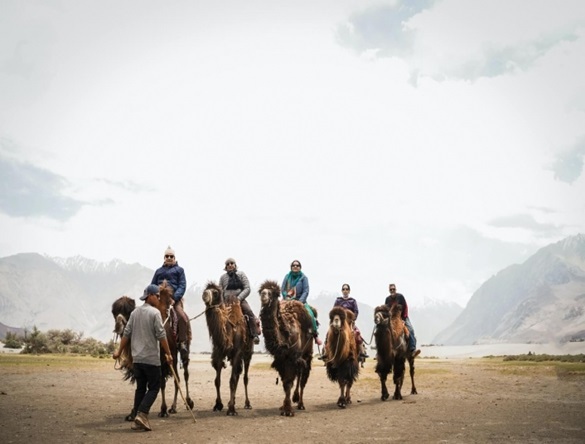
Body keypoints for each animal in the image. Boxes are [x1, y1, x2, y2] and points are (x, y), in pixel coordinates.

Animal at [113, 280, 195, 420]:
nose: (118, 326)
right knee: (177, 378)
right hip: (172, 356)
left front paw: (163, 410)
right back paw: (173, 407)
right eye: (114, 311)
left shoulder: (162, 358)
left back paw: (187, 402)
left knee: (184, 374)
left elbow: (161, 383)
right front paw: (132, 413)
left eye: (127, 310)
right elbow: (142, 384)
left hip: (181, 347)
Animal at [201, 282, 251, 414]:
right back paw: (230, 402)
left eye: (215, 292)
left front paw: (232, 410)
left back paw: (247, 403)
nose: (204, 295)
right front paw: (218, 405)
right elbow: (217, 381)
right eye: (205, 290)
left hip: (248, 353)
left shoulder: (237, 352)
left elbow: (232, 380)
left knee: (244, 377)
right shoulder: (219, 352)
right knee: (238, 374)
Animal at [258, 280, 318, 416]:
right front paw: (284, 406)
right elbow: (285, 382)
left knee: (303, 377)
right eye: (261, 290)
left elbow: (289, 381)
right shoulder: (281, 359)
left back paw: (300, 403)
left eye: (274, 293)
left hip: (307, 353)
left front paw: (288, 410)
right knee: (299, 374)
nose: (264, 294)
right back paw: (295, 399)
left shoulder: (292, 357)